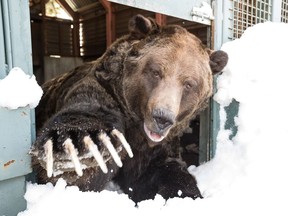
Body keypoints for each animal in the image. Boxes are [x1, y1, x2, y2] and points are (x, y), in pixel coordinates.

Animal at [31, 14, 227, 203]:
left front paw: (185, 195)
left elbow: (163, 170)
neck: (136, 126)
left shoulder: (157, 146)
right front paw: (79, 148)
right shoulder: (103, 91)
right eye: (156, 72)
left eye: (189, 84)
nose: (162, 118)